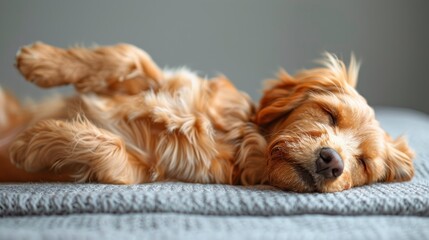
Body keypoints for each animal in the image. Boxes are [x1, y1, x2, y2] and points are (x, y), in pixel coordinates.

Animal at [0, 42, 414, 193]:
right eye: (329, 114)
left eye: (363, 163)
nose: (332, 162)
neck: (235, 136)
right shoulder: (163, 81)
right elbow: (127, 55)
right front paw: (41, 62)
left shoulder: (142, 166)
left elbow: (106, 145)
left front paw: (32, 143)